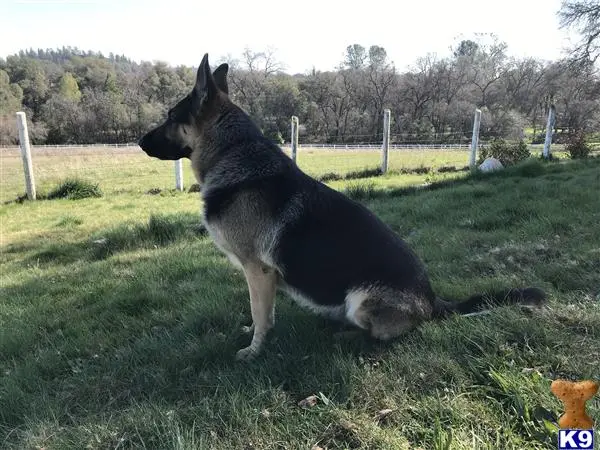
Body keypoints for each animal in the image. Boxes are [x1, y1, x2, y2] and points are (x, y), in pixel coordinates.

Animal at [138, 54, 548, 360]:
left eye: (170, 116)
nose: (139, 141)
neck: (232, 154)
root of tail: (433, 301)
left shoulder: (258, 271)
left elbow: (261, 314)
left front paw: (254, 350)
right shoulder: (260, 278)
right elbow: (262, 312)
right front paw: (252, 333)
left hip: (359, 299)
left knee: (384, 337)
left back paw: (345, 337)